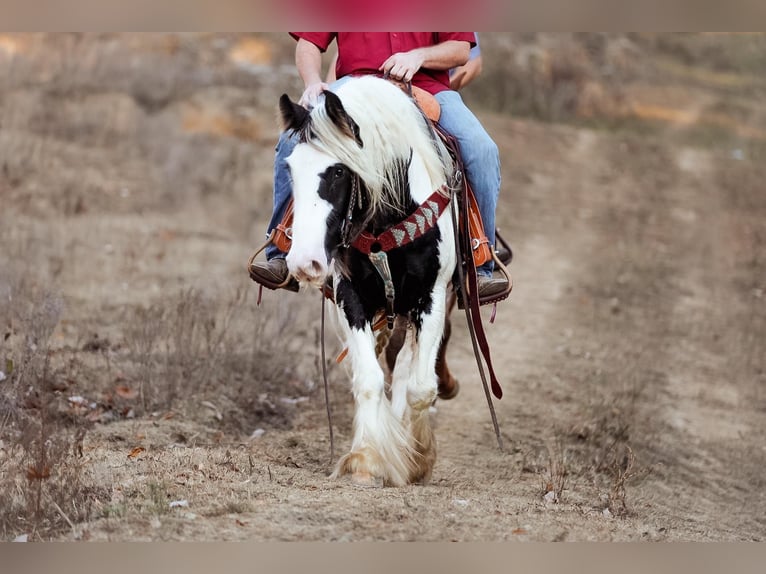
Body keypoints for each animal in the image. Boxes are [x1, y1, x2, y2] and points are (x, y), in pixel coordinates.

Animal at [284, 76, 462, 488]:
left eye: (338, 172)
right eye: (290, 168)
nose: (304, 262)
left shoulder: (430, 298)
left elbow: (420, 386)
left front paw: (418, 459)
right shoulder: (351, 297)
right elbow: (367, 378)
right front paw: (365, 458)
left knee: (407, 368)